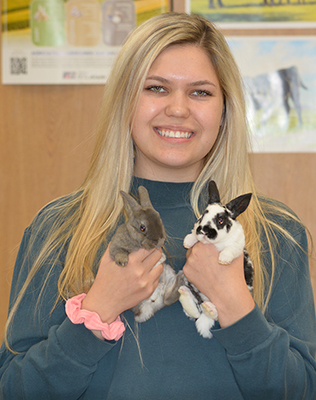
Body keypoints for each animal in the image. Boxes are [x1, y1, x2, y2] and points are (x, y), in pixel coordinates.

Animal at [109, 187, 183, 322]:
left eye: (159, 219)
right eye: (142, 227)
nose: (160, 241)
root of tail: (154, 301)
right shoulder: (115, 247)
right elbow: (119, 252)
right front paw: (122, 262)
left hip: (169, 278)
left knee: (168, 298)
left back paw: (181, 277)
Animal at [179, 180, 253, 340]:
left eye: (220, 220)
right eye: (202, 216)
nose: (203, 231)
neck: (216, 243)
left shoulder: (237, 245)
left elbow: (230, 249)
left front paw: (223, 259)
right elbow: (193, 235)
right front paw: (188, 241)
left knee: (212, 315)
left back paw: (209, 309)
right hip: (192, 288)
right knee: (195, 310)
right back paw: (184, 293)